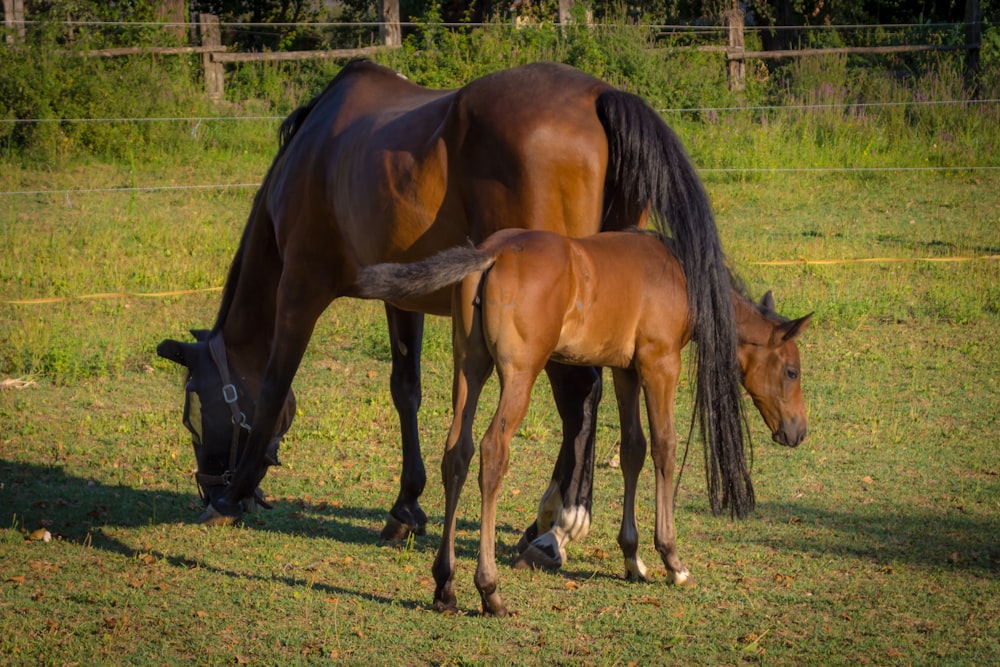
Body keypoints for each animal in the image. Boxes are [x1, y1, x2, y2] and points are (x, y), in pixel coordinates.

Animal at [156, 61, 748, 564]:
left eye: (193, 410)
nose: (207, 487)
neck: (314, 150)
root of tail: (598, 95)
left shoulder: (300, 290)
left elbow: (274, 385)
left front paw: (235, 494)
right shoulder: (401, 299)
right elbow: (406, 390)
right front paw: (405, 505)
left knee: (579, 397)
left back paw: (557, 529)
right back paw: (547, 525)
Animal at [356, 230, 808, 616]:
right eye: (792, 371)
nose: (798, 432)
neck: (679, 275)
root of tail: (492, 252)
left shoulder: (626, 370)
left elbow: (633, 449)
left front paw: (632, 558)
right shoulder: (660, 363)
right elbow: (664, 446)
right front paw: (672, 560)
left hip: (470, 367)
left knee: (457, 453)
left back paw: (445, 585)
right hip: (520, 373)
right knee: (492, 452)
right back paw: (490, 591)